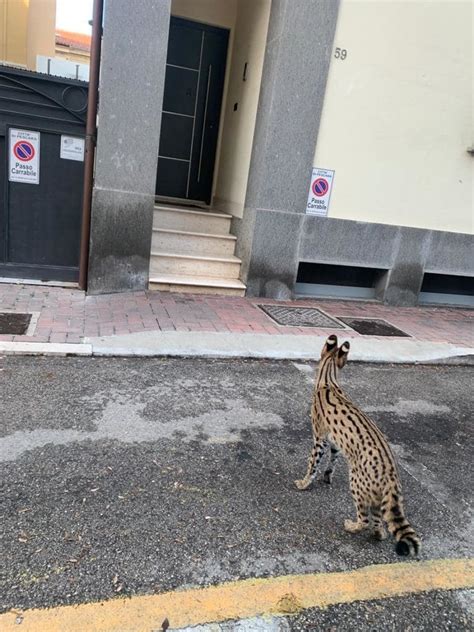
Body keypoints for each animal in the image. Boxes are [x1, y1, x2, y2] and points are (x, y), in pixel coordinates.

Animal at [294, 334, 420, 556]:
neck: (328, 380)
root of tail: (391, 476)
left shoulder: (319, 437)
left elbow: (312, 464)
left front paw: (304, 482)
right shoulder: (334, 442)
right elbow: (332, 461)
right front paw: (327, 477)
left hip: (356, 482)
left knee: (365, 519)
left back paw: (351, 526)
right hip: (375, 496)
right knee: (378, 523)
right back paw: (378, 535)